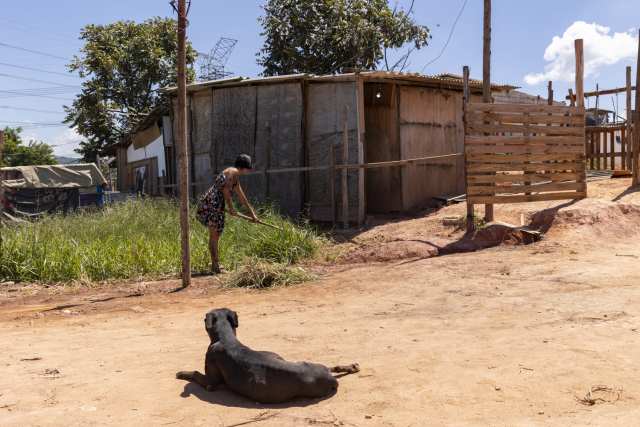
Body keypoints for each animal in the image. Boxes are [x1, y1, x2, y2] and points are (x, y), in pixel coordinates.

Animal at [178, 308, 360, 404]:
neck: (225, 337)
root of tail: (330, 378)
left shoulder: (211, 382)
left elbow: (196, 374)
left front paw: (181, 373)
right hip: (292, 359)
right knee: (332, 366)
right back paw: (351, 367)